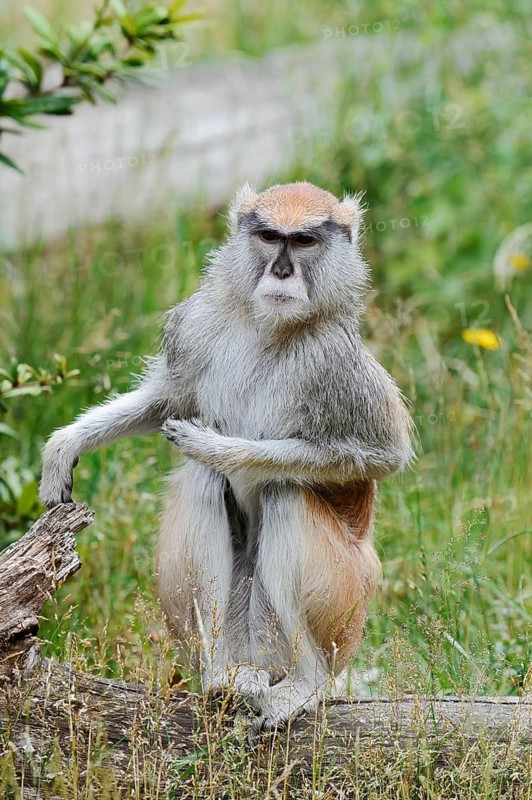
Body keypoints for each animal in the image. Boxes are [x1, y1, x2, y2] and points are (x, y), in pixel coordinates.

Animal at [40, 181, 413, 734]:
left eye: (304, 241)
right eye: (269, 236)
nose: (281, 271)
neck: (269, 328)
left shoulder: (338, 363)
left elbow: (380, 455)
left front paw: (216, 447)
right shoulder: (198, 323)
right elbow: (168, 400)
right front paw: (66, 444)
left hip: (345, 608)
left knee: (285, 492)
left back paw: (306, 685)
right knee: (204, 483)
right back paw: (222, 678)